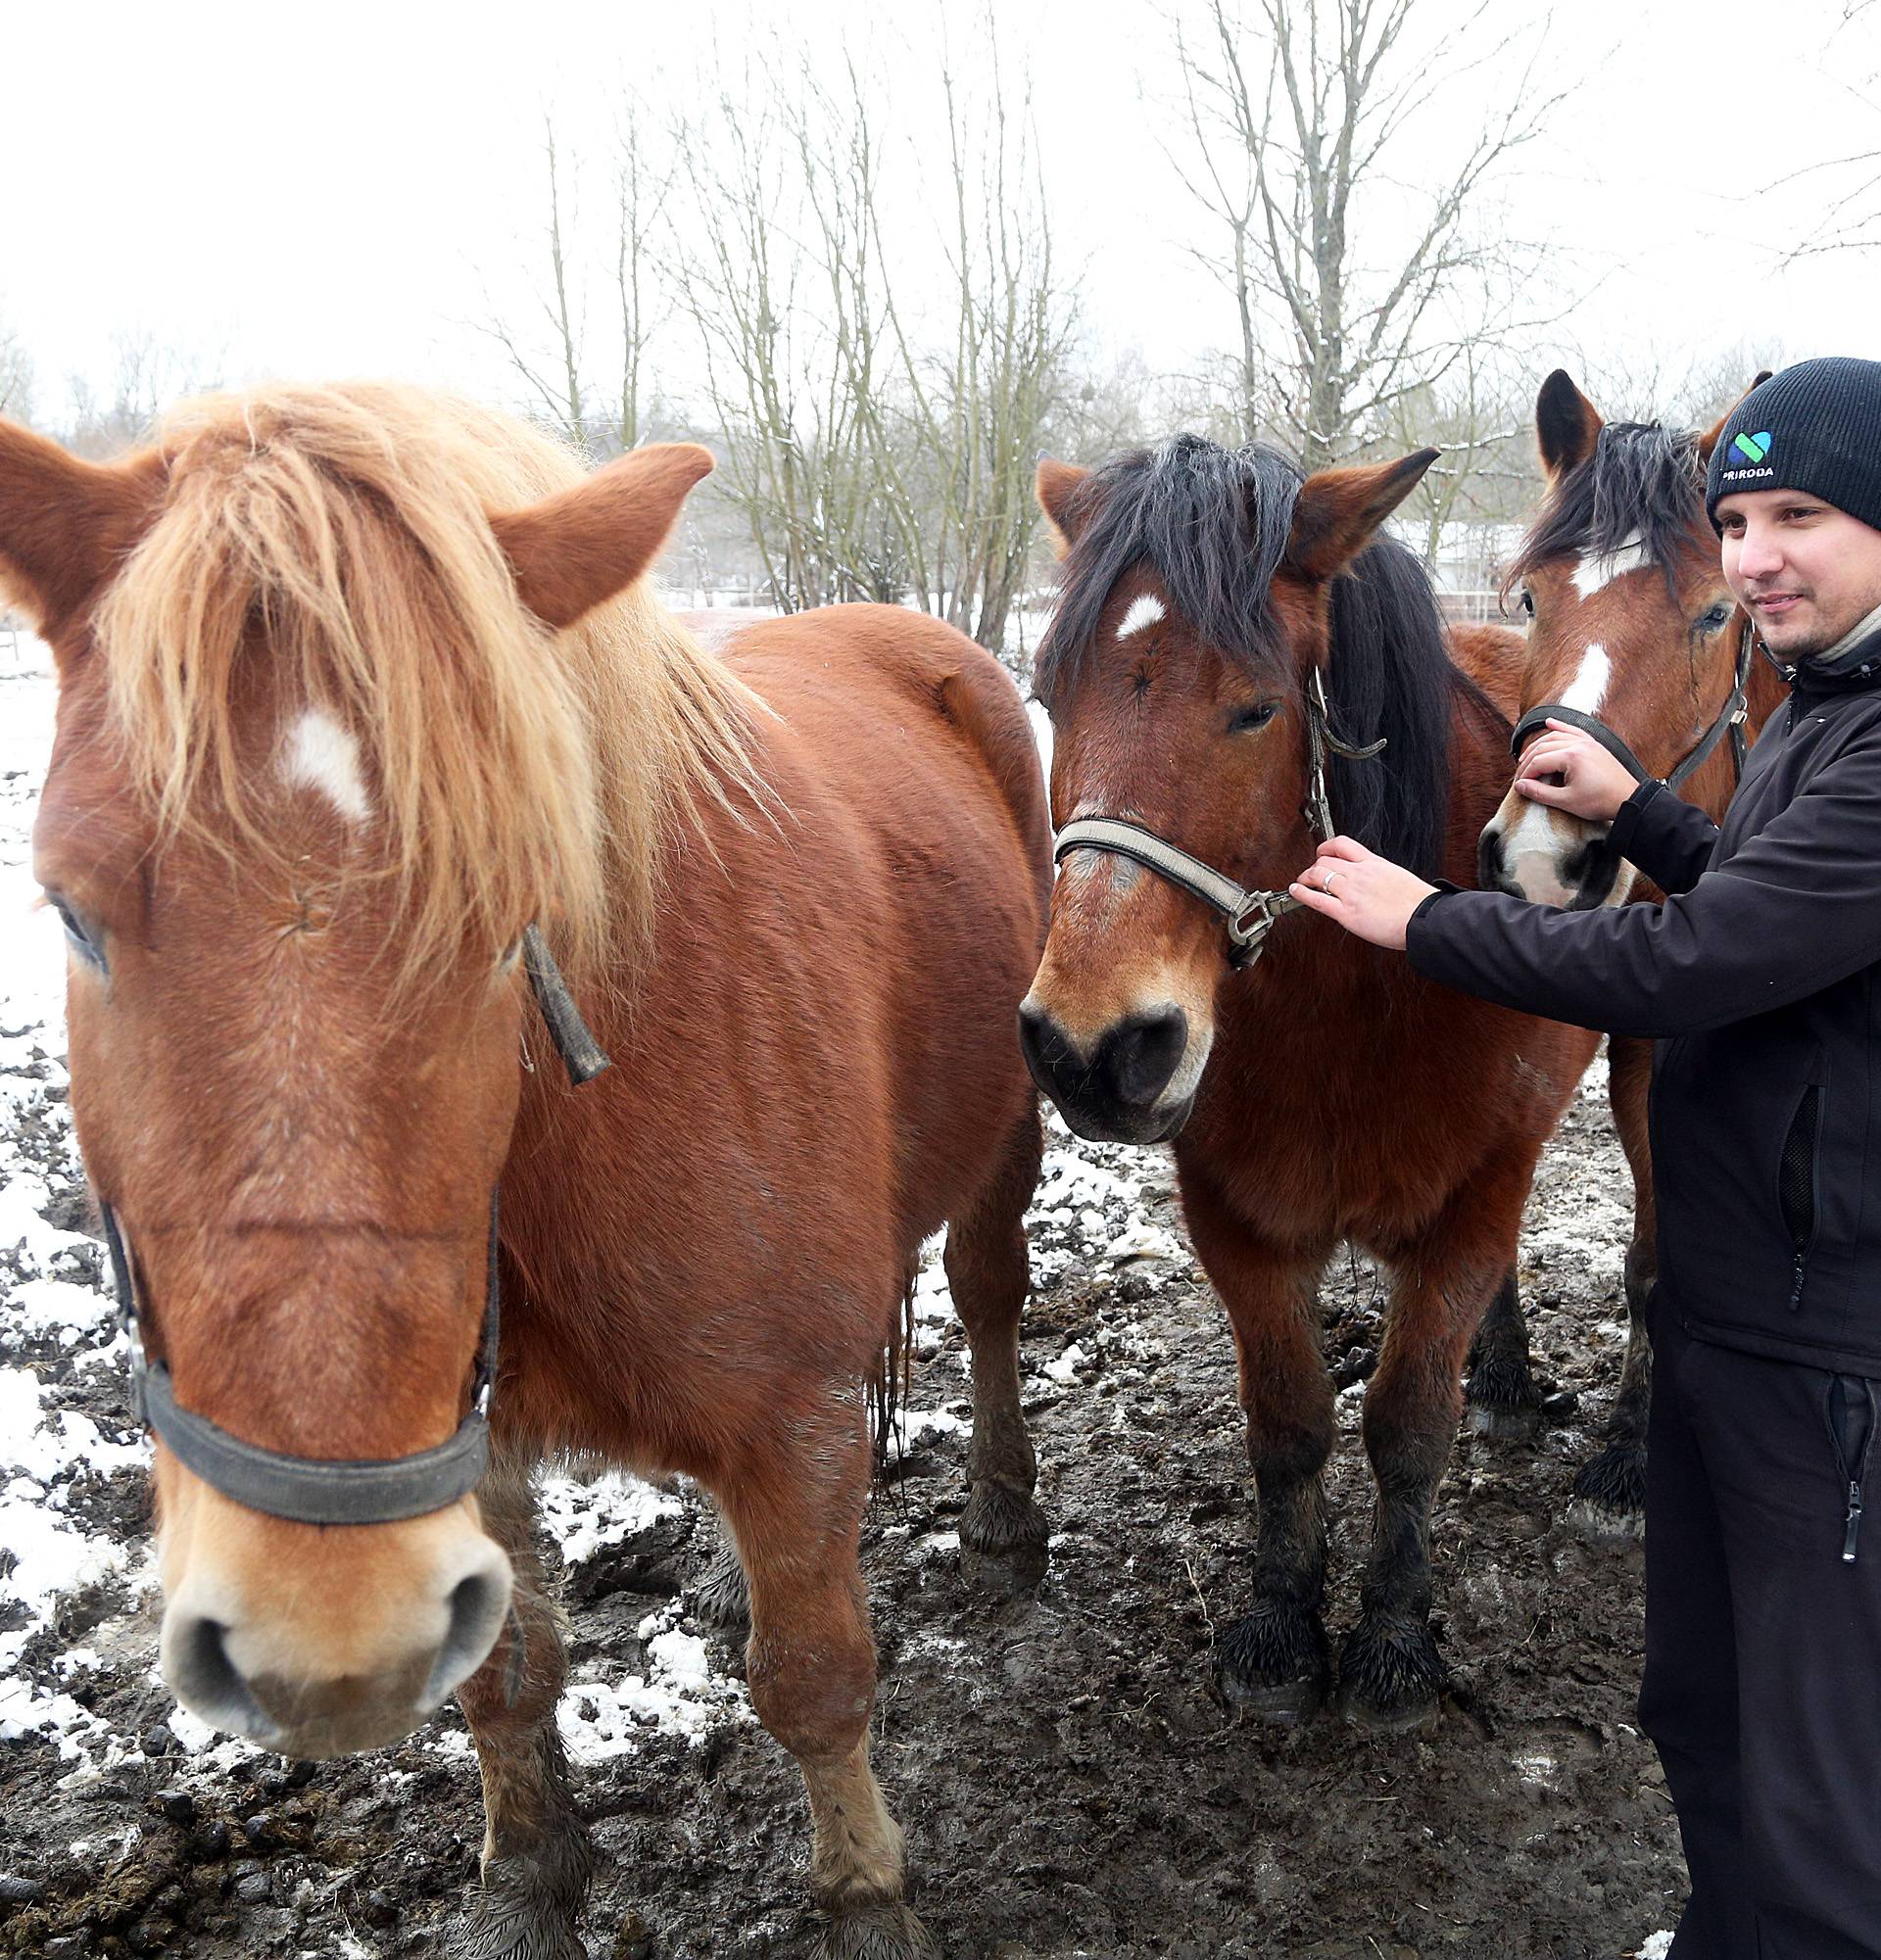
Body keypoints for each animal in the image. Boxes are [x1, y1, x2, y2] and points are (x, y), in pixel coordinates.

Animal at [0, 386, 1050, 1959]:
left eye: (510, 919)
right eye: (65, 911)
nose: (322, 1629)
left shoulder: (796, 1423)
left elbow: (813, 1679)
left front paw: (867, 1901)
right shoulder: (469, 1445)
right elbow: (507, 1674)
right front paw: (527, 1885)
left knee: (990, 1299)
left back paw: (1002, 1515)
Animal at [1011, 433, 1599, 1732]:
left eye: (1257, 708)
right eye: (1046, 697)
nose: (1092, 1049)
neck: (1355, 996)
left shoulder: (1472, 1200)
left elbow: (1407, 1424)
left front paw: (1392, 1640)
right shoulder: (1233, 1210)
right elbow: (1287, 1422)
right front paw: (1282, 1623)